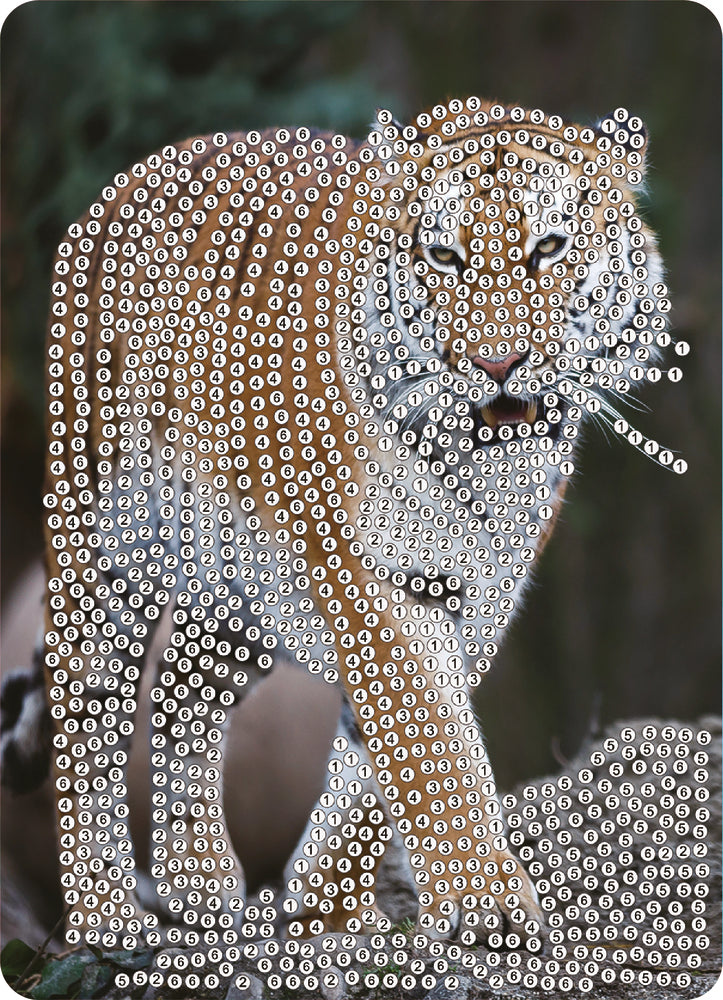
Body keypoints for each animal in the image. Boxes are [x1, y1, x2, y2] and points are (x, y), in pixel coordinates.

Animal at [2, 96, 674, 956]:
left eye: (548, 248)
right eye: (445, 257)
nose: (497, 365)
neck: (485, 466)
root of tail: (141, 168)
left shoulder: (478, 595)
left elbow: (372, 763)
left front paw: (330, 917)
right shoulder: (375, 576)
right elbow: (431, 742)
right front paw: (486, 908)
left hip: (236, 587)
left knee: (187, 694)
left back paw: (200, 889)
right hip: (108, 539)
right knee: (89, 708)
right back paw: (107, 916)